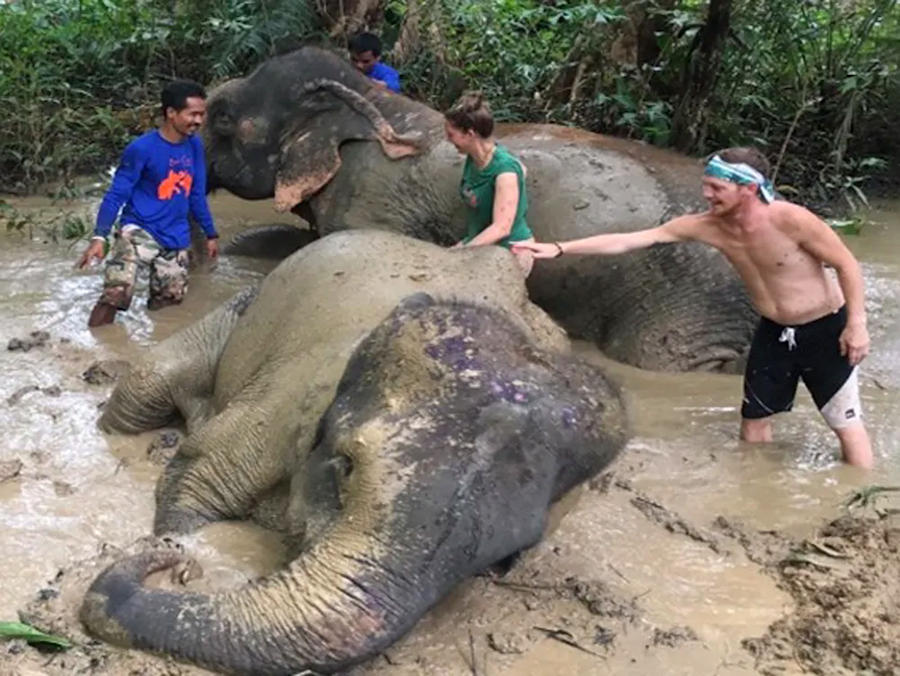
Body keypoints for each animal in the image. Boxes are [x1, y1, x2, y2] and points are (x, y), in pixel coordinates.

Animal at [80, 230, 628, 675]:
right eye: (344, 467)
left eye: (503, 561)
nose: (172, 569)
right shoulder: (282, 404)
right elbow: (195, 483)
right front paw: (179, 545)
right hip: (245, 308)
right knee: (142, 390)